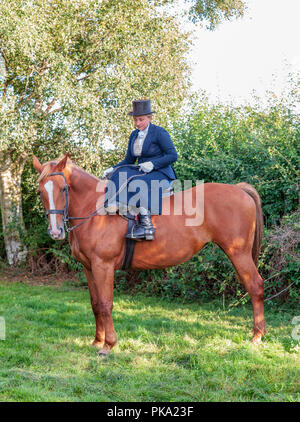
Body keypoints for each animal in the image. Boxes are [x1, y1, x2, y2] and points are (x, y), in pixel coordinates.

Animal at [34, 153, 266, 354]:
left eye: (64, 188)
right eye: (40, 191)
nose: (55, 232)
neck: (96, 209)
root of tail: (239, 190)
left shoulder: (103, 266)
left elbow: (106, 304)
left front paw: (109, 344)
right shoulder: (89, 267)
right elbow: (95, 304)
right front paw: (97, 340)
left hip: (239, 253)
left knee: (255, 286)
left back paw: (257, 336)